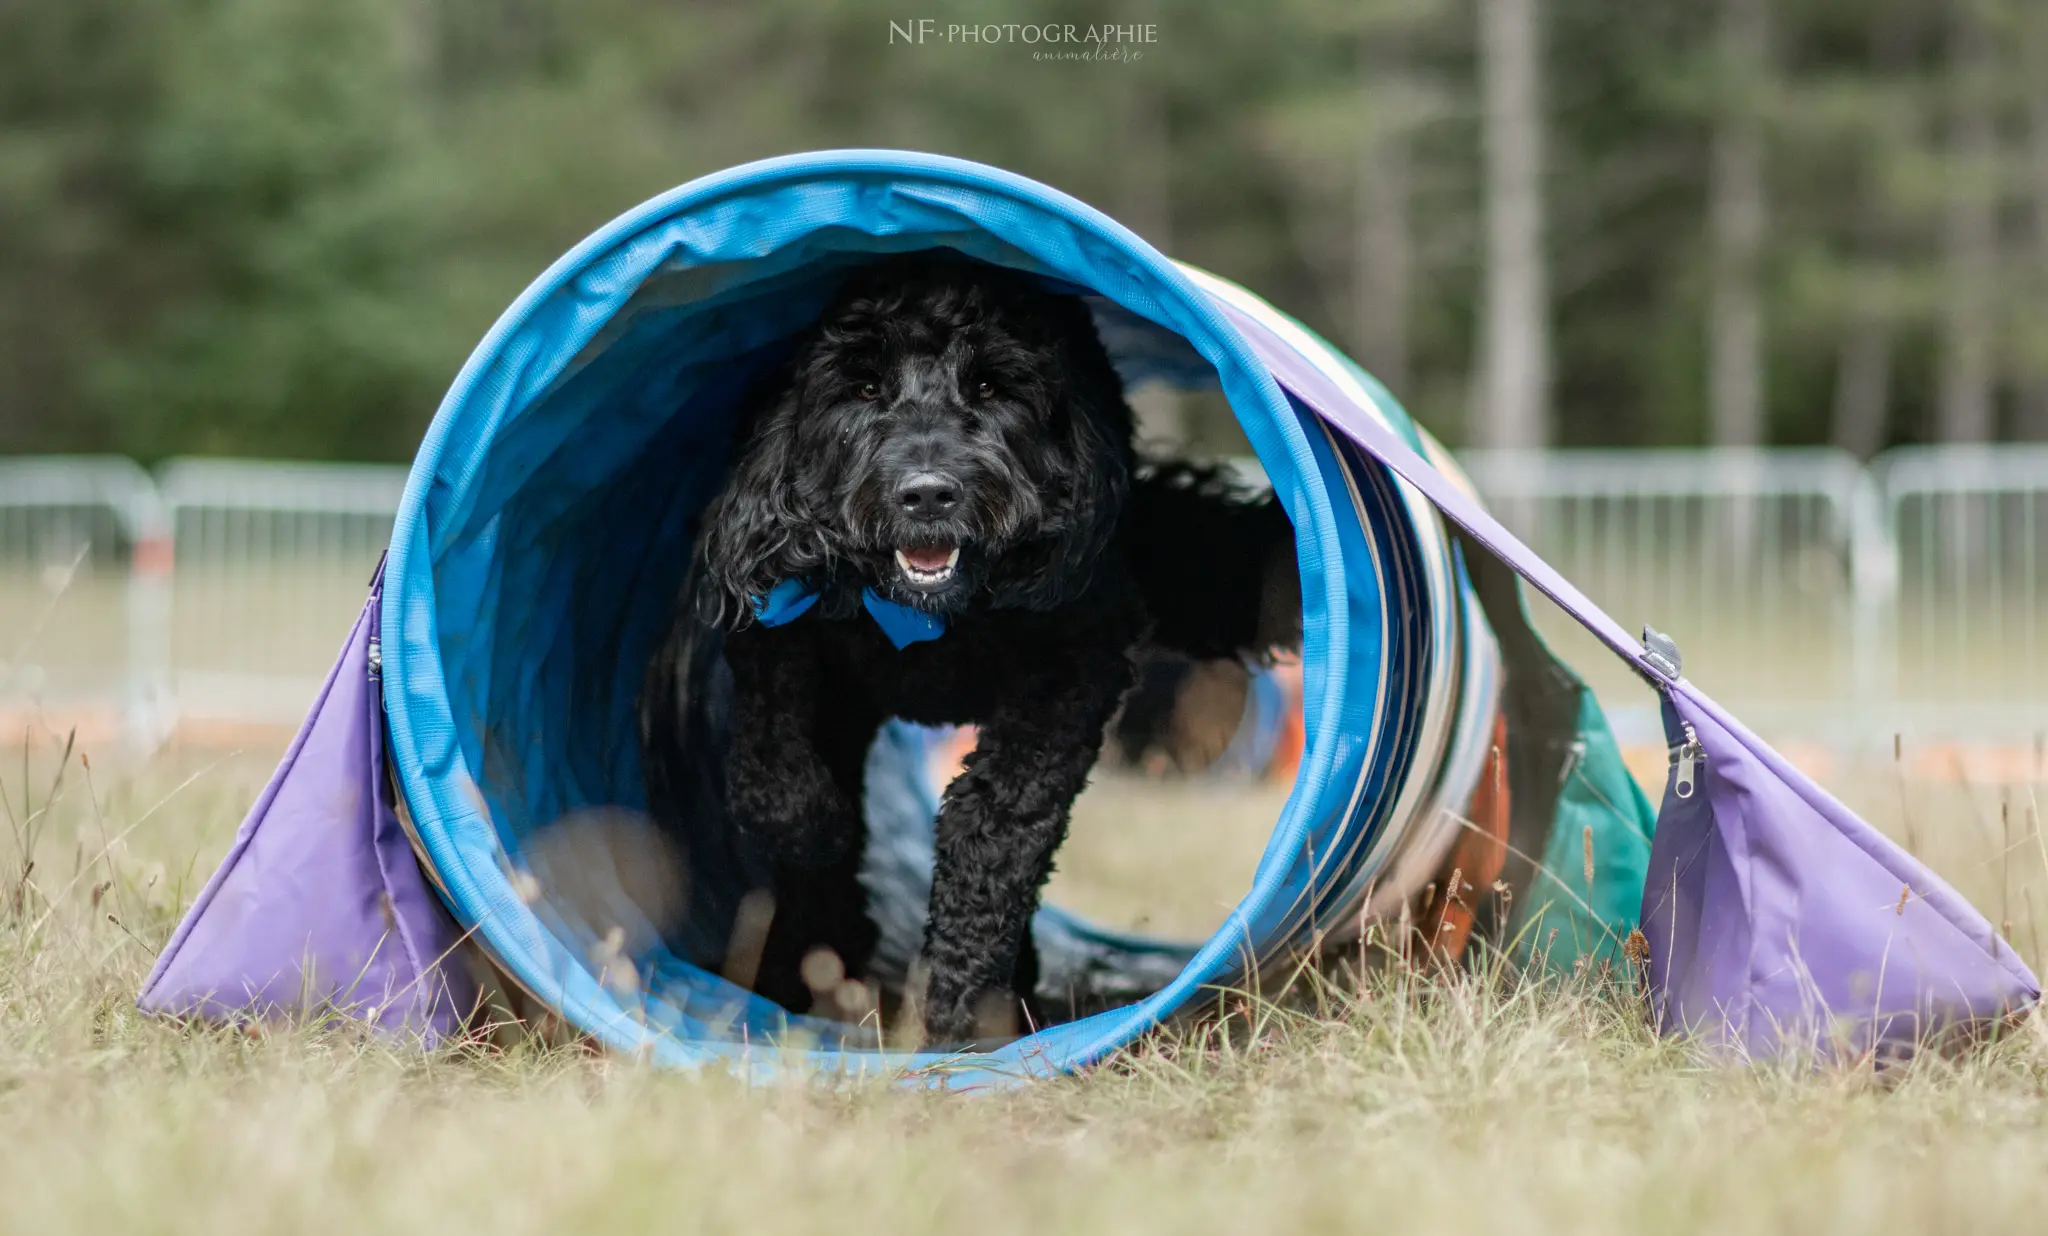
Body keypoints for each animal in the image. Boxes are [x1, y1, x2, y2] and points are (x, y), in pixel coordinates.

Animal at [638, 253, 1294, 1043]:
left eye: (990, 385)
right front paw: (813, 836)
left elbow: (994, 831)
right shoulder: (779, 621)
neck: (930, 616)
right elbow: (773, 773)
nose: (927, 494)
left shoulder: (1071, 671)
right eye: (863, 387)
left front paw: (963, 1014)